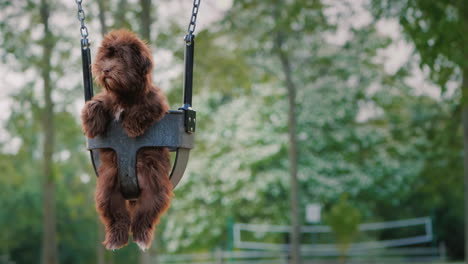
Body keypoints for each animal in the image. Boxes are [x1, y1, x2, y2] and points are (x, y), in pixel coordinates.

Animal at [81, 29, 173, 251]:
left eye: (121, 58)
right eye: (106, 57)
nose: (105, 69)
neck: (123, 95)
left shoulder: (154, 101)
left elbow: (143, 108)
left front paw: (131, 126)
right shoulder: (108, 99)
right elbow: (97, 102)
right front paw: (91, 121)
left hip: (154, 187)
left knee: (146, 214)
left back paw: (140, 237)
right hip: (108, 189)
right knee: (116, 215)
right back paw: (116, 239)